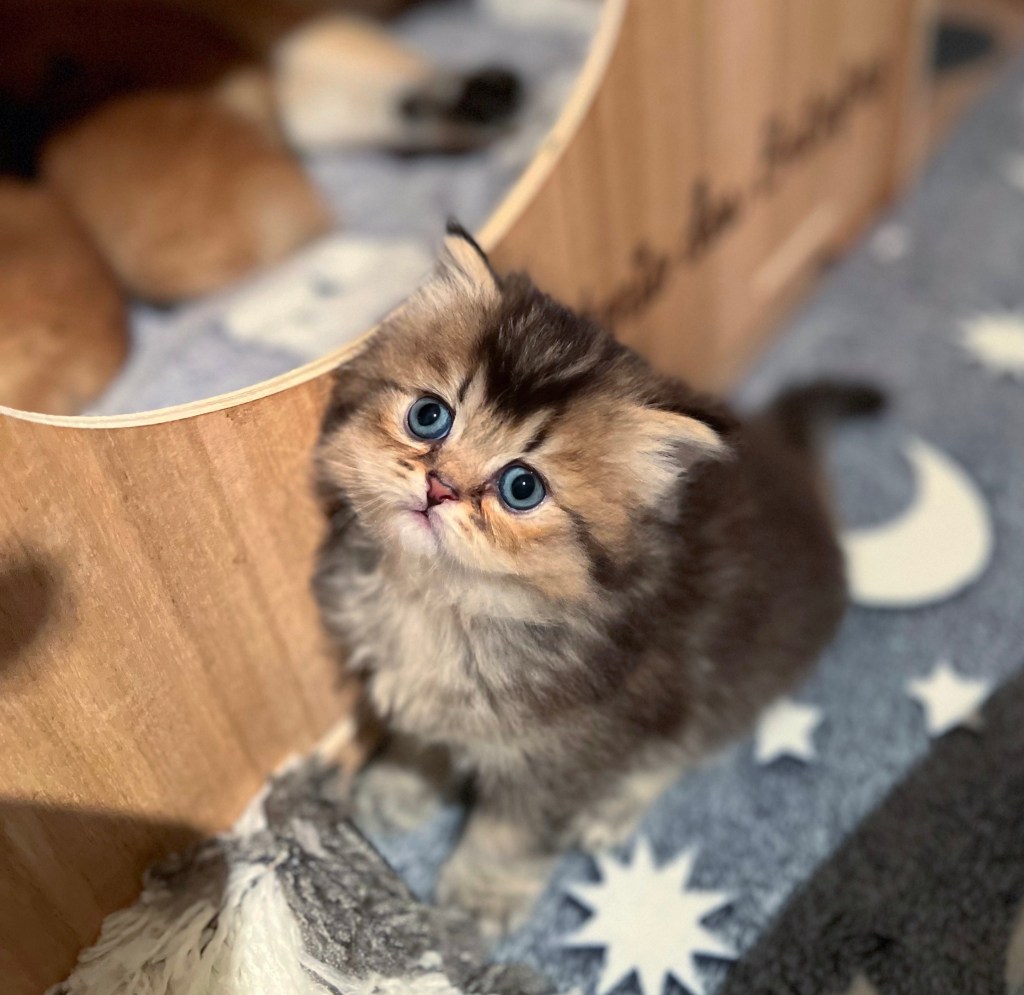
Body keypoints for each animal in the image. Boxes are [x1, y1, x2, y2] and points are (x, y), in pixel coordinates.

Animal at [312, 222, 883, 935]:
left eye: (521, 487)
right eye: (429, 416)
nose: (438, 486)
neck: (444, 603)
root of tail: (791, 465)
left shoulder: (575, 747)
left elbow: (511, 831)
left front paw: (477, 900)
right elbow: (423, 740)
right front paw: (398, 787)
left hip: (736, 676)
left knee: (693, 743)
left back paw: (614, 808)